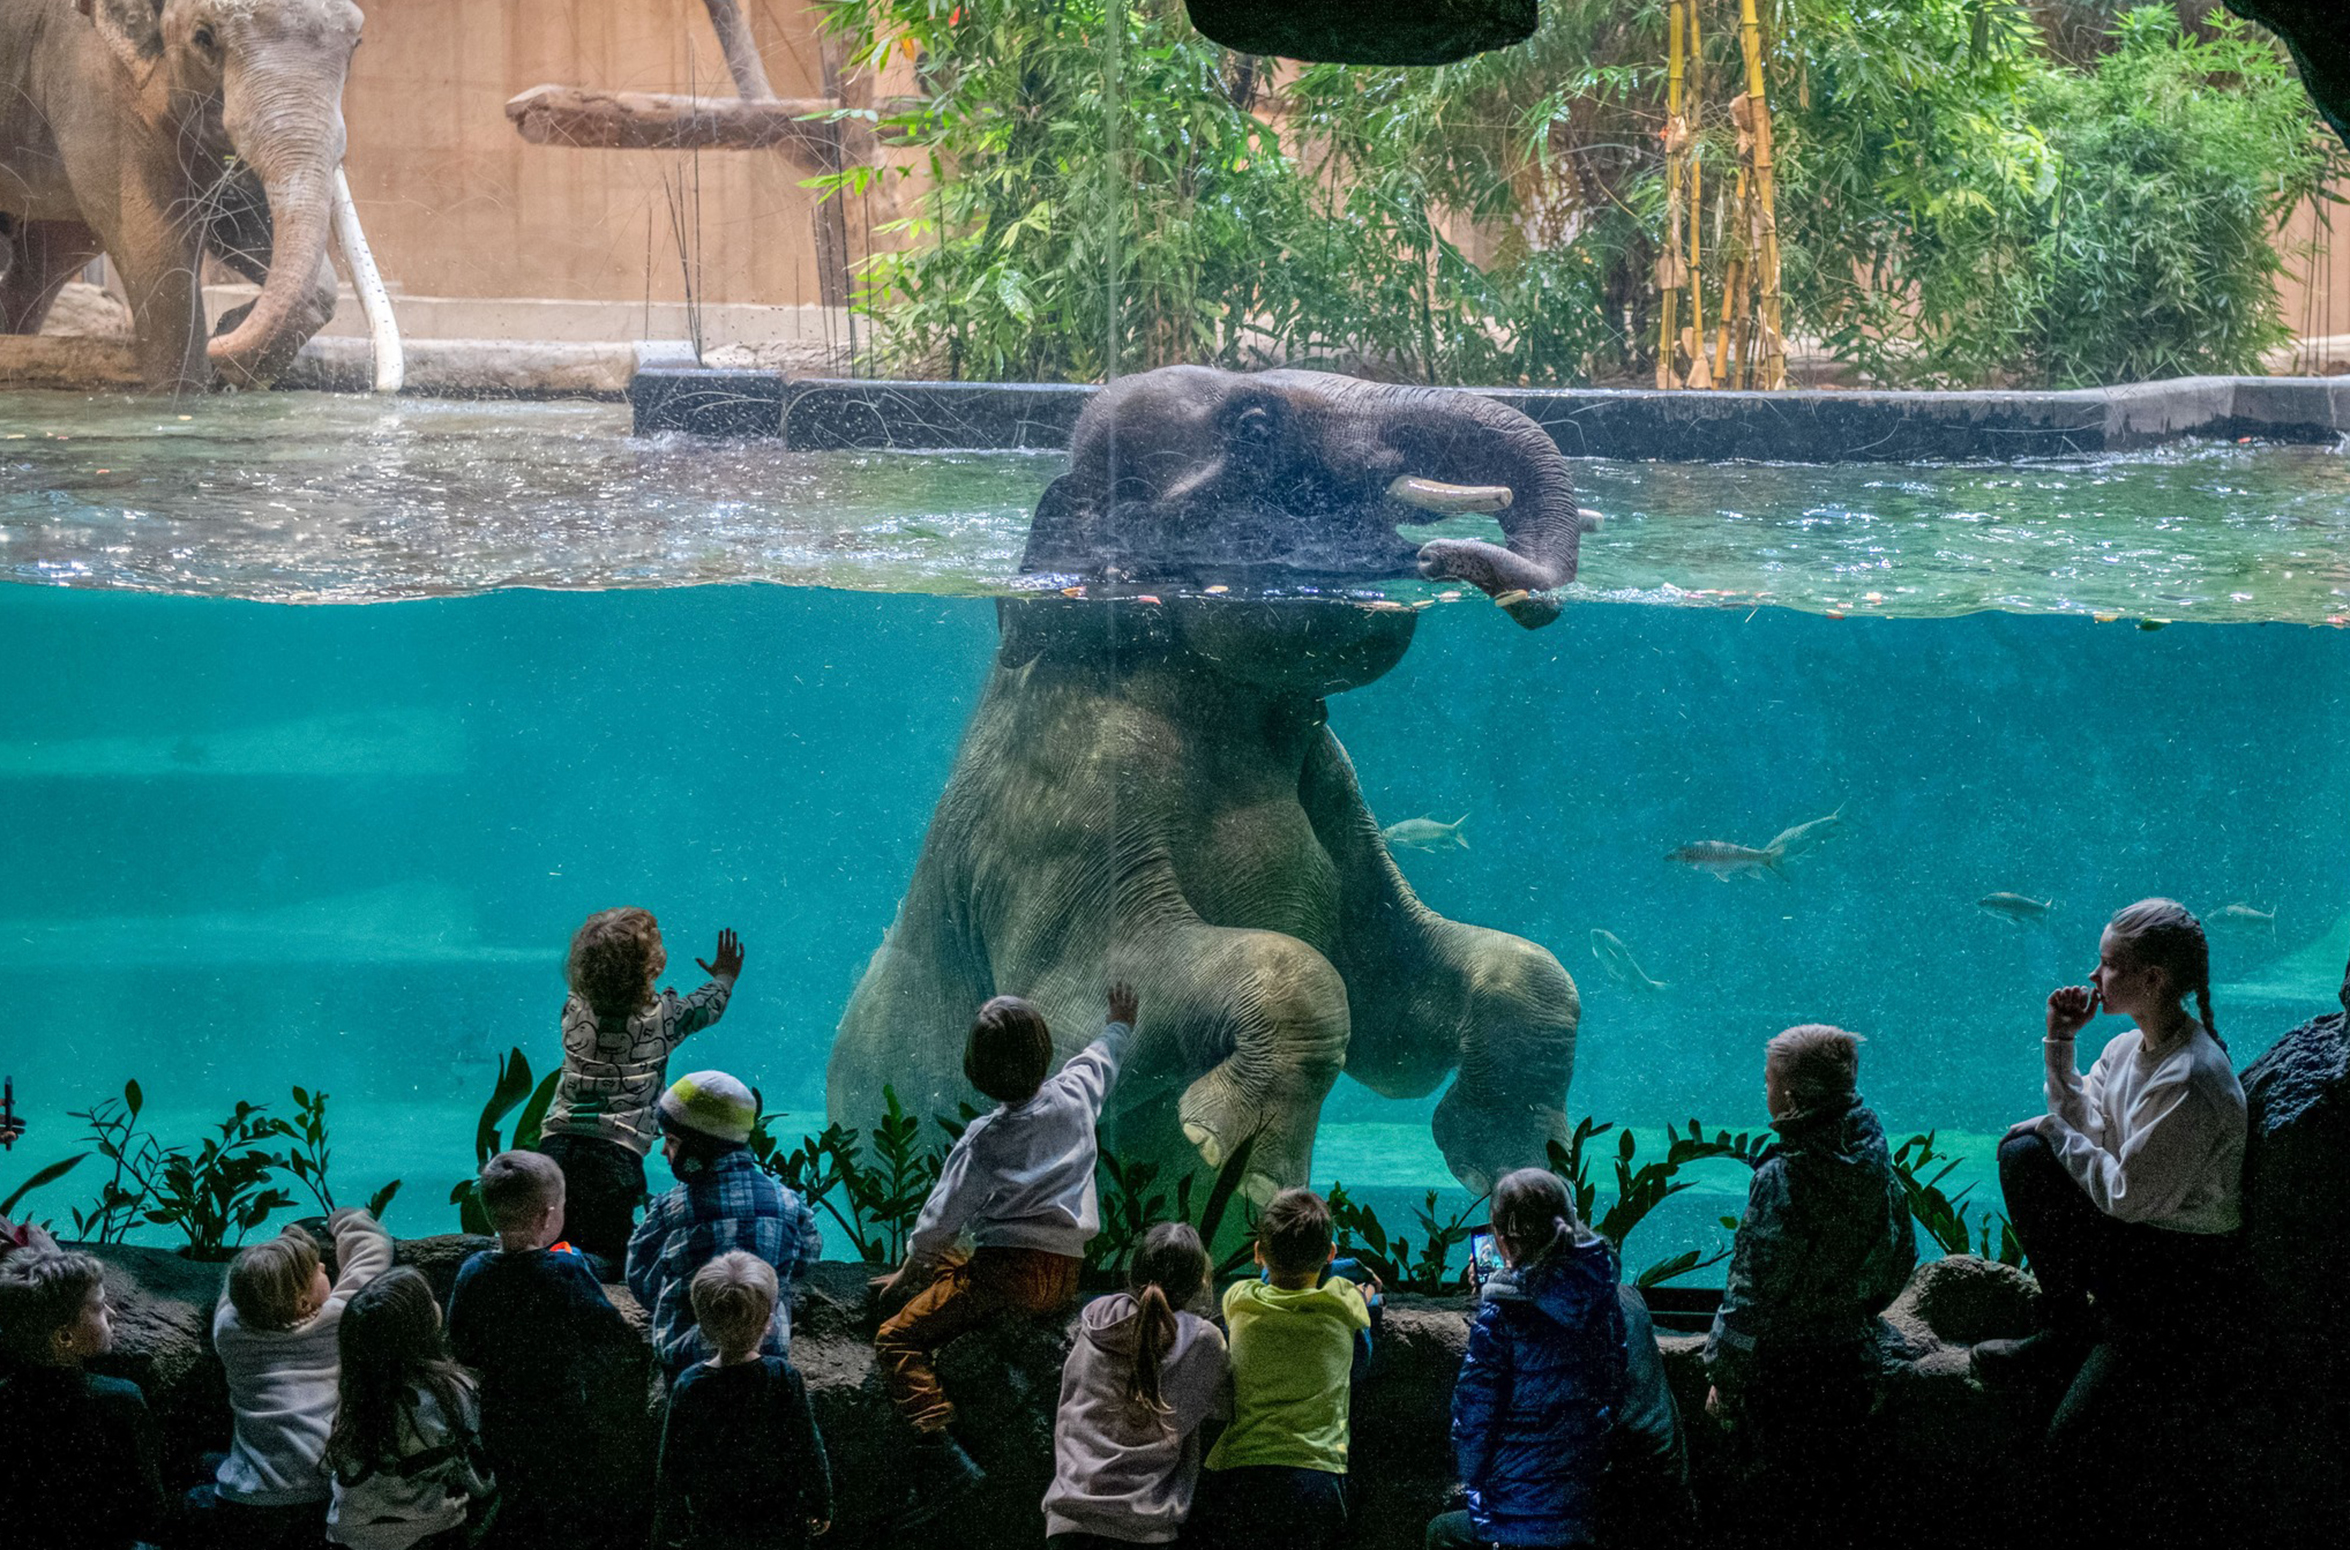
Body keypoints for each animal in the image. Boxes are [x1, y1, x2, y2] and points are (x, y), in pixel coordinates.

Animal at [0, 0, 364, 387]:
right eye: (203, 37)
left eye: (356, 42)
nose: (219, 341)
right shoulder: (86, 76)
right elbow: (160, 255)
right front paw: (188, 382)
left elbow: (236, 216)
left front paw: (227, 338)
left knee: (45, 258)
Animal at [836, 366, 1588, 1211]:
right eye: (1255, 428)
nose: (1439, 557)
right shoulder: (1057, 806)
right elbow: (1077, 1009)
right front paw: (1244, 1163)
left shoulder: (1336, 796)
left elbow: (1423, 1003)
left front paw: (1516, 1164)